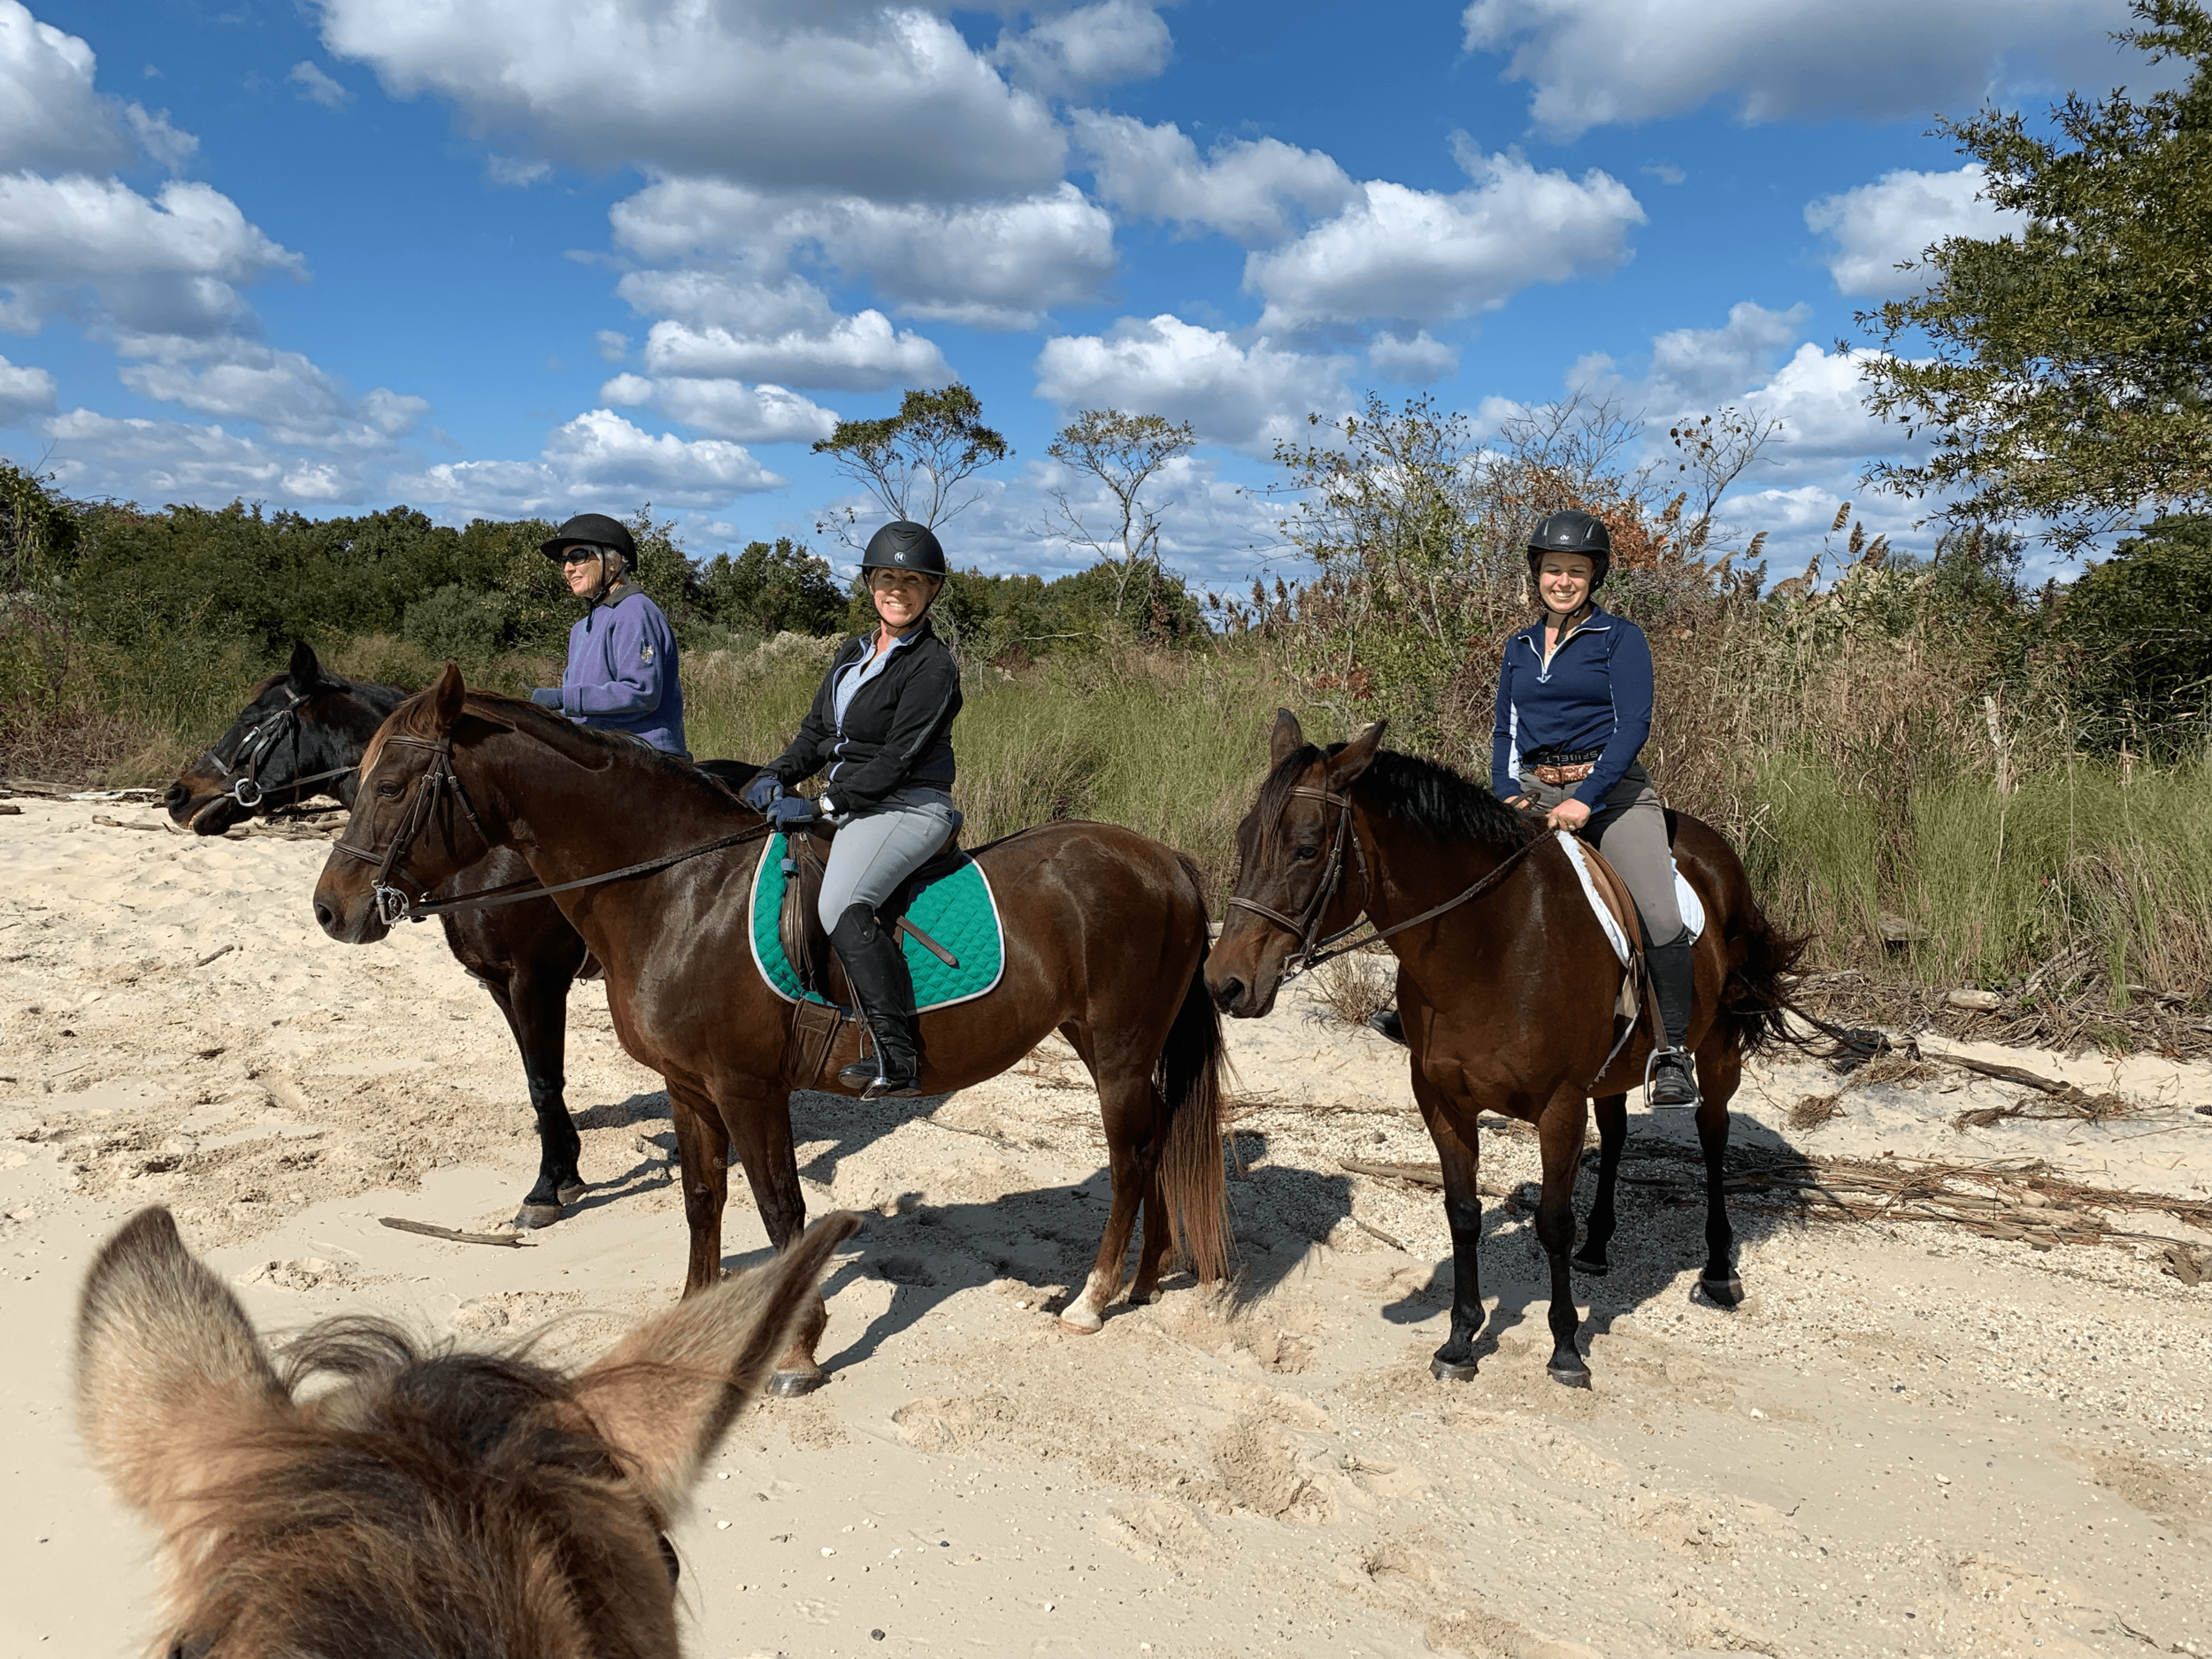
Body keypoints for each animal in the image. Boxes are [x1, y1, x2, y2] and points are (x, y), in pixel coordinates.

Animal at [168, 642, 759, 1229]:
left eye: (251, 721)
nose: (177, 795)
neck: (496, 850)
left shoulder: (536, 978)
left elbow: (545, 1079)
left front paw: (546, 1187)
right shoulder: (499, 983)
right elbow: (536, 1078)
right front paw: (565, 1169)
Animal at [310, 665, 1230, 1394]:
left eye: (391, 787)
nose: (330, 910)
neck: (680, 892)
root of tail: (1168, 863)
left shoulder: (747, 1086)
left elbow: (780, 1207)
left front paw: (796, 1352)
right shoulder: (687, 1086)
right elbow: (703, 1198)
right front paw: (696, 1315)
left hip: (1117, 1050)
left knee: (1130, 1157)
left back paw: (1092, 1297)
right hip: (1106, 1046)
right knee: (1152, 1145)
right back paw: (1144, 1281)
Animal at [1206, 711, 1806, 1388]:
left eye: (1307, 848)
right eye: (1244, 839)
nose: (1225, 983)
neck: (1491, 944)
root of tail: (1714, 850)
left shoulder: (1560, 1103)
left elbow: (1551, 1220)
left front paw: (1566, 1348)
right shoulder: (1442, 1099)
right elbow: (1463, 1212)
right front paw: (1460, 1340)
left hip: (1718, 1047)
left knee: (1712, 1134)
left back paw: (1719, 1271)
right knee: (1618, 1134)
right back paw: (1598, 1245)